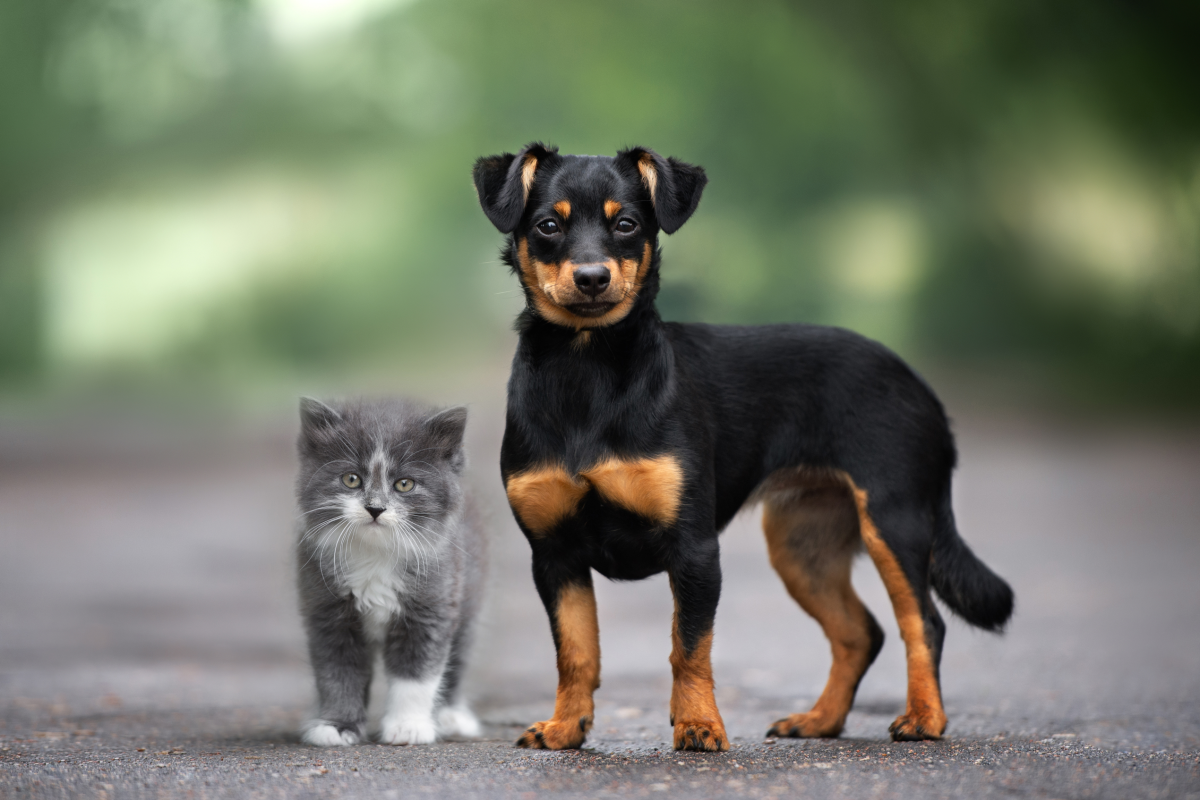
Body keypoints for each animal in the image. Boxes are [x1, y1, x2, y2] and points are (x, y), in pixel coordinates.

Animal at [292, 398, 484, 748]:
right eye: (351, 479)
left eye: (404, 484)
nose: (375, 508)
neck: (375, 554)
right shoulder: (326, 611)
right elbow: (338, 673)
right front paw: (336, 725)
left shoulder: (433, 604)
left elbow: (416, 674)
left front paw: (408, 727)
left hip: (470, 597)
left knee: (458, 658)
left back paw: (451, 716)